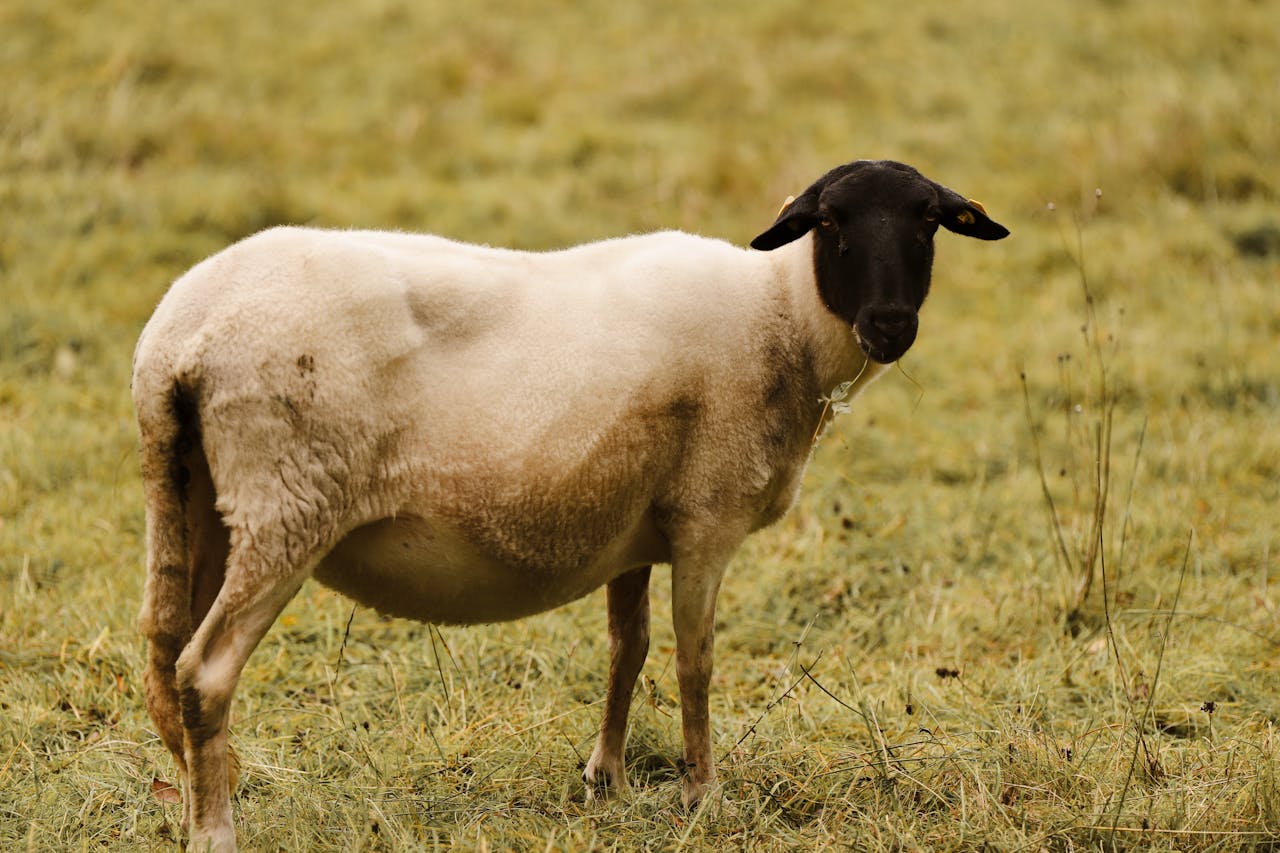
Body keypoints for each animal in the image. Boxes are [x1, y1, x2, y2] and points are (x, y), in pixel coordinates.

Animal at [132, 159, 1008, 851]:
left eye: (929, 222)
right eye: (829, 222)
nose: (889, 324)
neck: (783, 317)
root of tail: (180, 339)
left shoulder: (637, 524)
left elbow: (630, 648)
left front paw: (606, 777)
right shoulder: (707, 514)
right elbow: (695, 660)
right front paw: (703, 793)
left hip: (193, 497)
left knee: (166, 655)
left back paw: (196, 793)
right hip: (289, 499)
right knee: (206, 670)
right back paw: (216, 830)